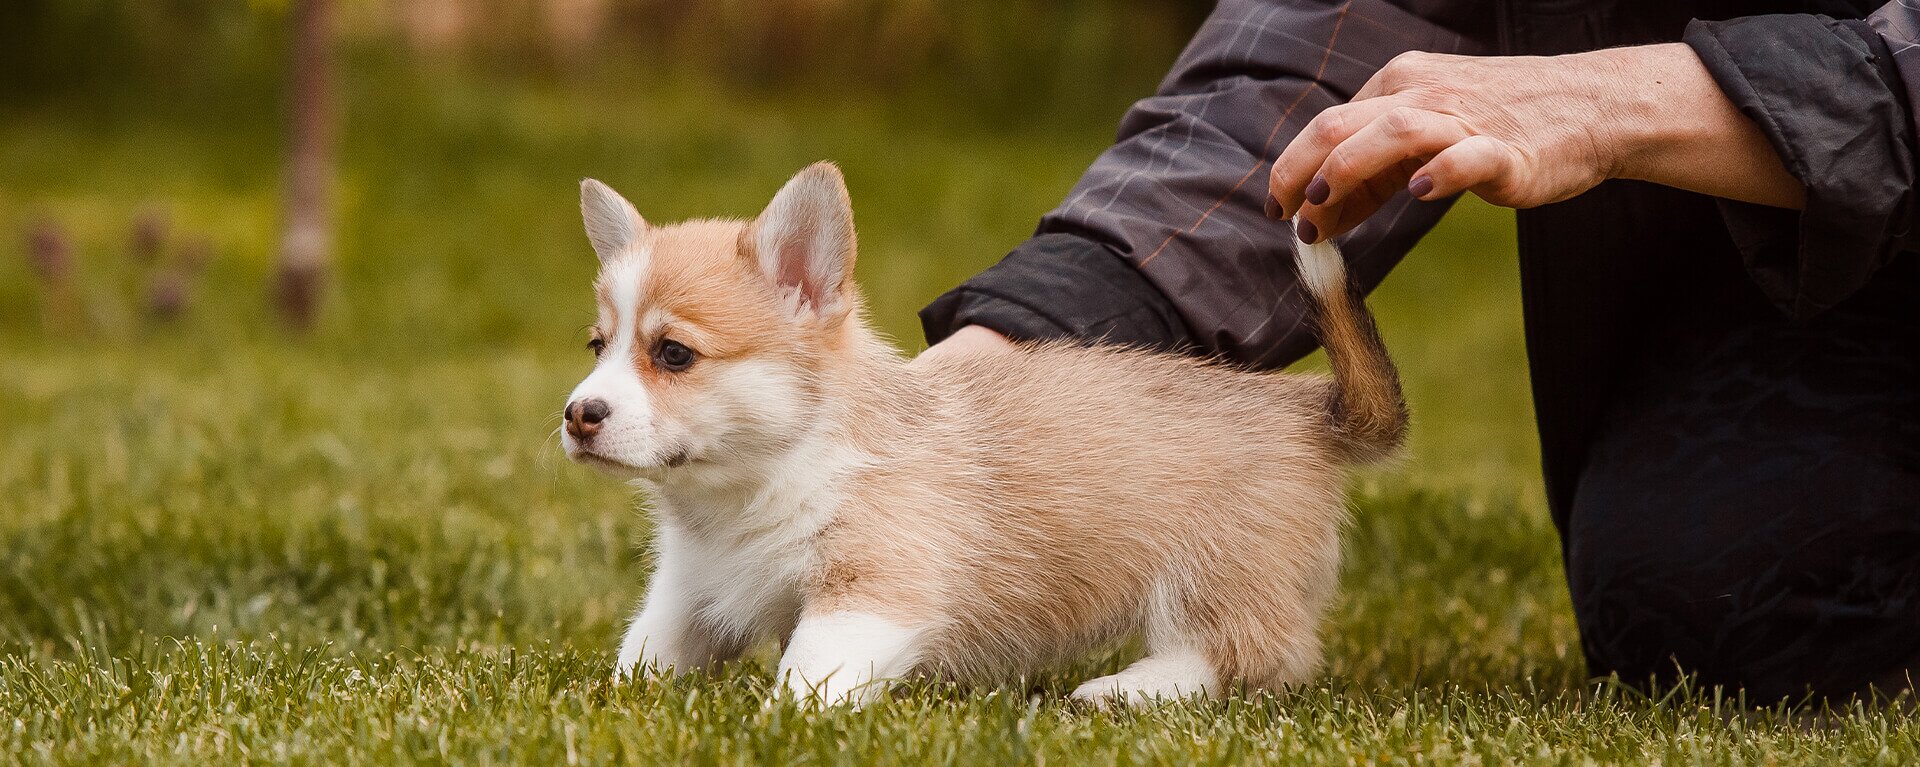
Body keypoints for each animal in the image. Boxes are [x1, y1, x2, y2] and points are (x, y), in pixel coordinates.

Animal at [560, 162, 1405, 707]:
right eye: (598, 345)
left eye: (674, 353)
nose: (577, 414)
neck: (758, 480)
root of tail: (1308, 406)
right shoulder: (692, 586)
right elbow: (647, 649)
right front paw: (616, 695)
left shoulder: (871, 590)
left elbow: (808, 674)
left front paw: (779, 724)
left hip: (1216, 567)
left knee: (1255, 653)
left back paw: (1126, 689)